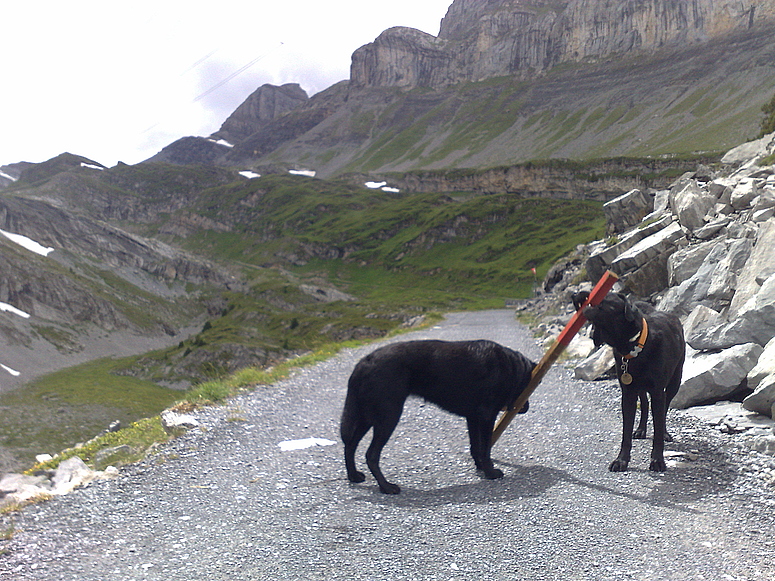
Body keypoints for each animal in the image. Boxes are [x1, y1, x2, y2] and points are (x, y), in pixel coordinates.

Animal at [342, 340, 536, 494]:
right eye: (528, 388)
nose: (526, 407)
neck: (510, 366)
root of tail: (363, 364)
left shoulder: (473, 418)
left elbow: (476, 447)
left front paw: (481, 467)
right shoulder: (487, 416)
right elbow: (485, 448)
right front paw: (491, 473)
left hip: (367, 416)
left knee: (350, 445)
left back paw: (353, 476)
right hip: (388, 416)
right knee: (371, 454)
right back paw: (386, 487)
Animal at [568, 290, 684, 472]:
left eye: (605, 301)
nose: (582, 297)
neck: (634, 346)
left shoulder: (658, 392)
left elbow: (658, 428)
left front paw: (657, 460)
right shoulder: (628, 393)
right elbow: (626, 432)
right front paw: (621, 460)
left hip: (675, 381)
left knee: (664, 409)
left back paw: (665, 433)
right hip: (640, 388)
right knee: (644, 403)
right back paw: (641, 429)